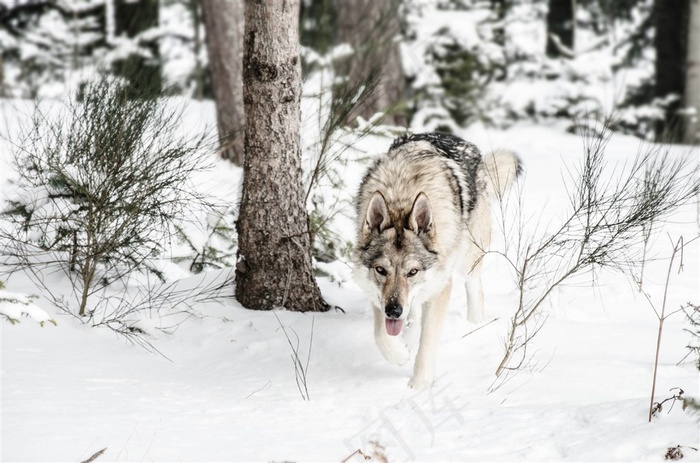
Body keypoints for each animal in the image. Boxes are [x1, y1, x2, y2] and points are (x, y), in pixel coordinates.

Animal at [356, 132, 520, 390]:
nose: (393, 310)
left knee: (475, 286)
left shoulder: (440, 288)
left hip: (467, 257)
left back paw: (474, 324)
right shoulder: (375, 291)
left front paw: (419, 387)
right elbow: (380, 333)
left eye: (412, 272)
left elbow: (427, 344)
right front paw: (399, 354)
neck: (402, 197)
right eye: (381, 270)